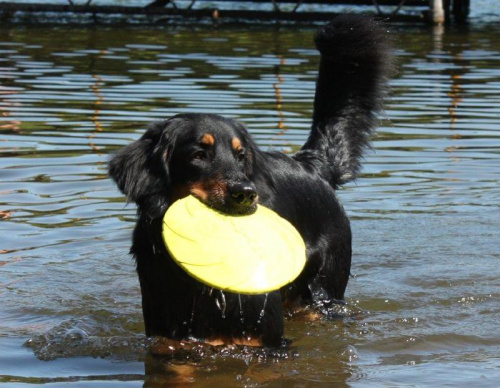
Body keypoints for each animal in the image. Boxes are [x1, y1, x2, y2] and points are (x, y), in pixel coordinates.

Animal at [108, 14, 390, 348]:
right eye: (198, 155)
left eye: (241, 156)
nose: (246, 193)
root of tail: (310, 164)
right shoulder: (167, 337)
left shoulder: (266, 341)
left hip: (322, 293)